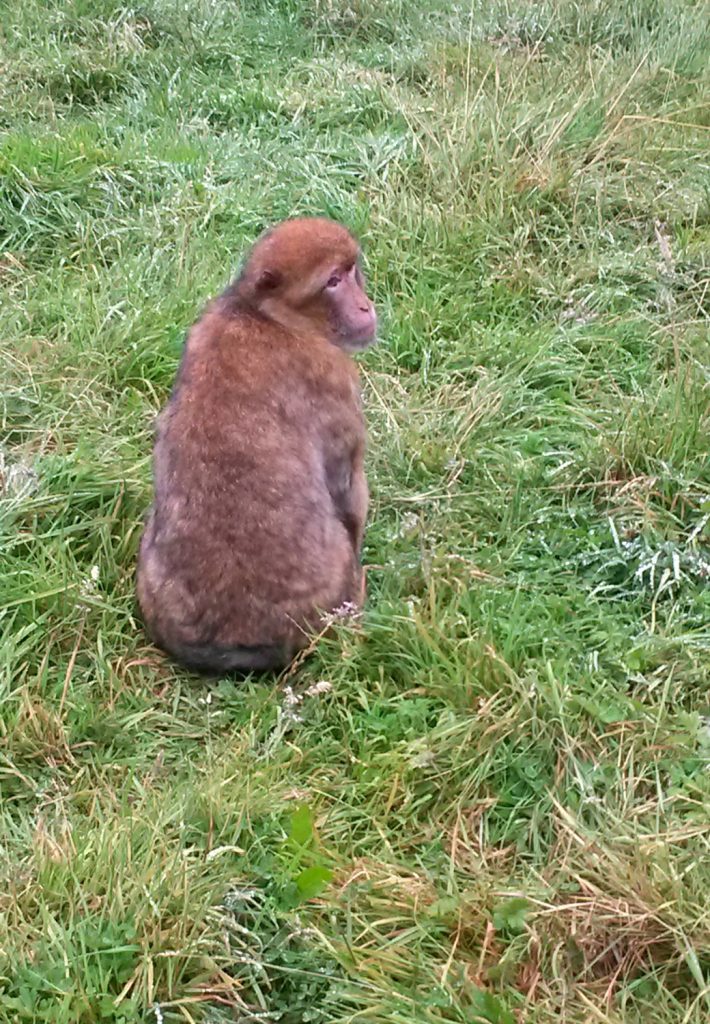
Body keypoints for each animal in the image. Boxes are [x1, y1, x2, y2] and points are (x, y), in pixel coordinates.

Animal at [135, 217, 378, 674]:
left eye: (351, 270)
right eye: (332, 282)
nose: (365, 308)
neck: (265, 314)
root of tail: (237, 643)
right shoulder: (333, 374)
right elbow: (346, 485)